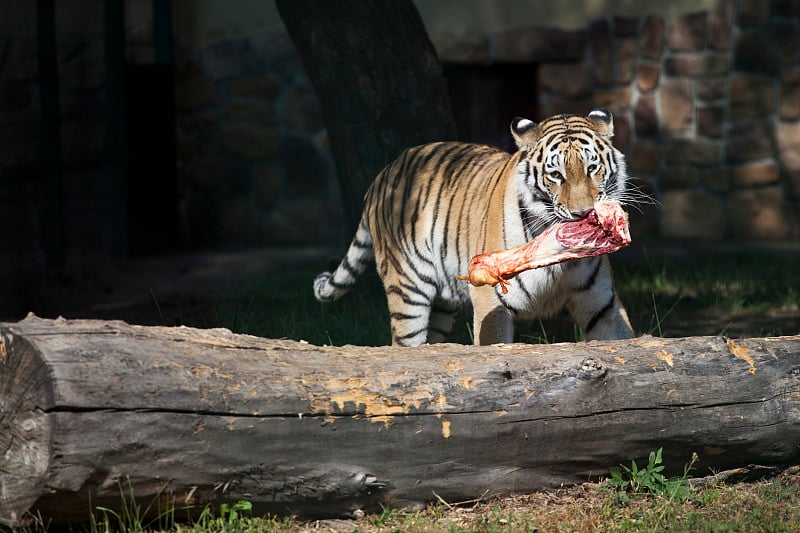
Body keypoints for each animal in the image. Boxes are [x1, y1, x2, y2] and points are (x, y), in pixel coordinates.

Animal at [312, 110, 632, 348]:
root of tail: (383, 175)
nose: (583, 213)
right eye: (556, 175)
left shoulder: (602, 305)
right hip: (407, 290)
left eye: (592, 168)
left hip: (441, 306)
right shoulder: (491, 302)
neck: (559, 261)